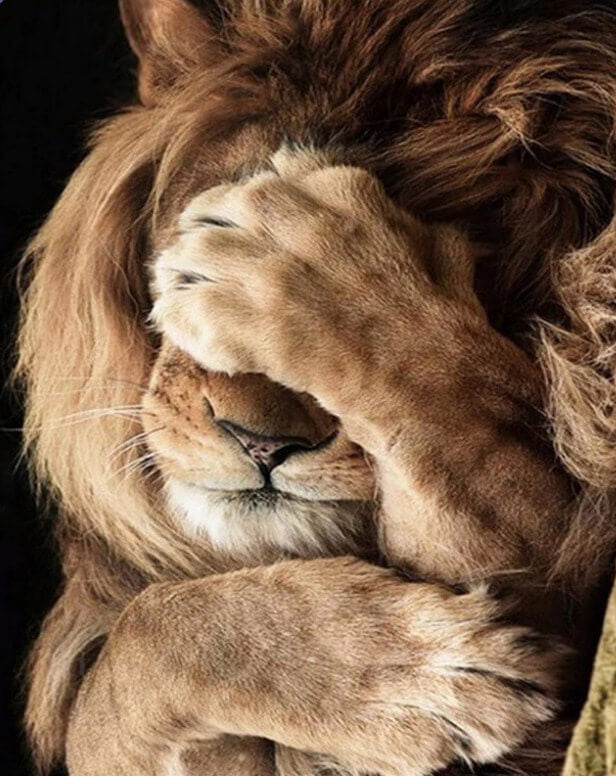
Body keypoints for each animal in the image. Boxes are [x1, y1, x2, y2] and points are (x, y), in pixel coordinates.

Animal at [18, 1, 616, 775]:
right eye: (186, 246)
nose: (261, 443)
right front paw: (411, 681)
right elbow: (133, 652)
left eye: (476, 280)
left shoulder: (567, 602)